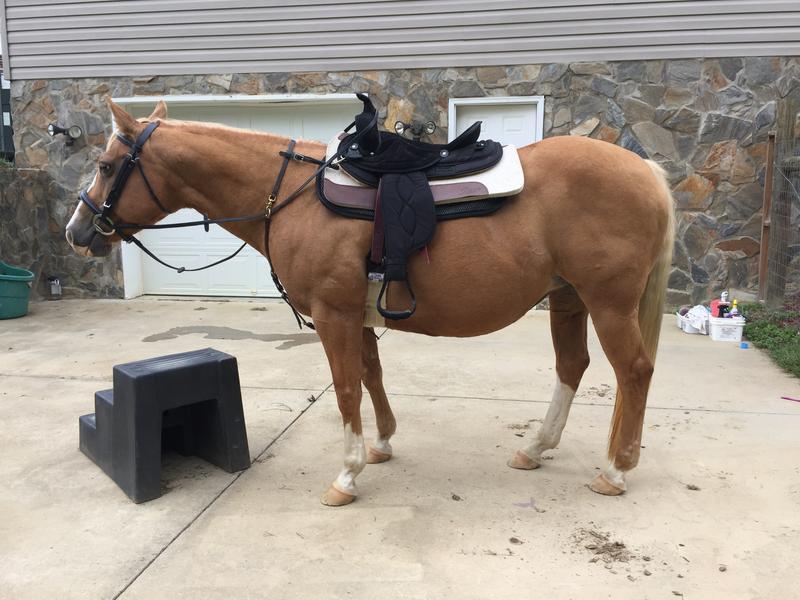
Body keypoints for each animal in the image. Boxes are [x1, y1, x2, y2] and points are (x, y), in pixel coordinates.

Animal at [66, 98, 675, 506]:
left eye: (105, 166)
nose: (76, 232)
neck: (297, 198)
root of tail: (645, 170)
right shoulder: (355, 316)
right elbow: (370, 374)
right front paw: (381, 444)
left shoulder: (332, 316)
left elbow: (345, 389)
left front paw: (346, 474)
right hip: (568, 300)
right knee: (573, 367)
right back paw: (536, 448)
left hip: (607, 304)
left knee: (635, 371)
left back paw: (615, 470)